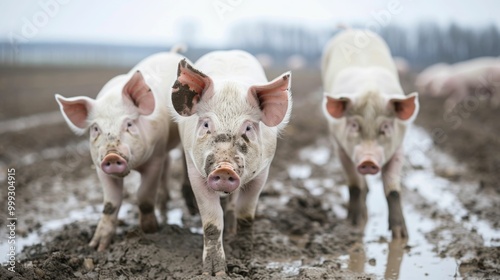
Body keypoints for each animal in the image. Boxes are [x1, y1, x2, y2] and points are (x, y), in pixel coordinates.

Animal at [53, 48, 188, 252]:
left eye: (129, 124)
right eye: (95, 128)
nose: (111, 155)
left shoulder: (155, 158)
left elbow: (144, 197)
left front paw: (150, 231)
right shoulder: (99, 167)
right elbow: (110, 203)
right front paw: (97, 247)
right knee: (168, 165)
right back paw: (164, 204)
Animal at [170, 50, 292, 276]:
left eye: (248, 128)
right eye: (206, 124)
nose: (225, 168)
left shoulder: (263, 172)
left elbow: (247, 215)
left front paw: (245, 261)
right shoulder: (196, 173)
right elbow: (211, 222)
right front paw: (214, 273)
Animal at [320, 28, 418, 238]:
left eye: (386, 127)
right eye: (354, 125)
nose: (368, 161)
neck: (369, 89)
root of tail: (351, 29)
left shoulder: (399, 146)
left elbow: (393, 189)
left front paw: (401, 235)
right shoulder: (339, 146)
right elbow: (354, 185)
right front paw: (355, 225)